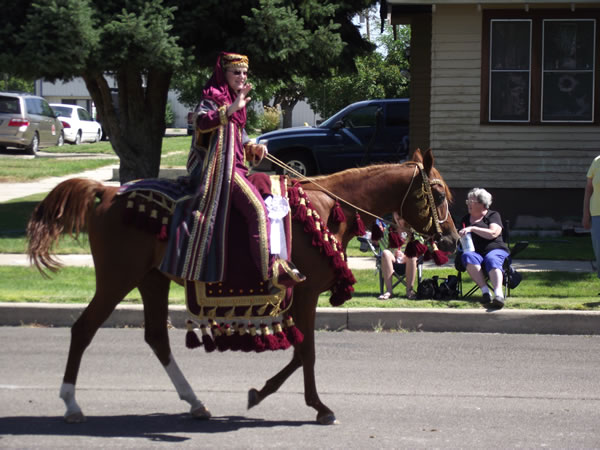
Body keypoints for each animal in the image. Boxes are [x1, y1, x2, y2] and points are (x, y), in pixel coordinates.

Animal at [27, 149, 460, 426]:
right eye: (438, 193)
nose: (453, 240)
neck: (324, 209)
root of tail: (107, 192)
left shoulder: (300, 295)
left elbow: (301, 351)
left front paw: (264, 393)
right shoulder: (305, 292)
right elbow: (306, 351)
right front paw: (315, 406)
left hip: (150, 279)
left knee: (156, 338)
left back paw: (195, 403)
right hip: (118, 276)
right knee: (84, 329)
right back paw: (71, 405)